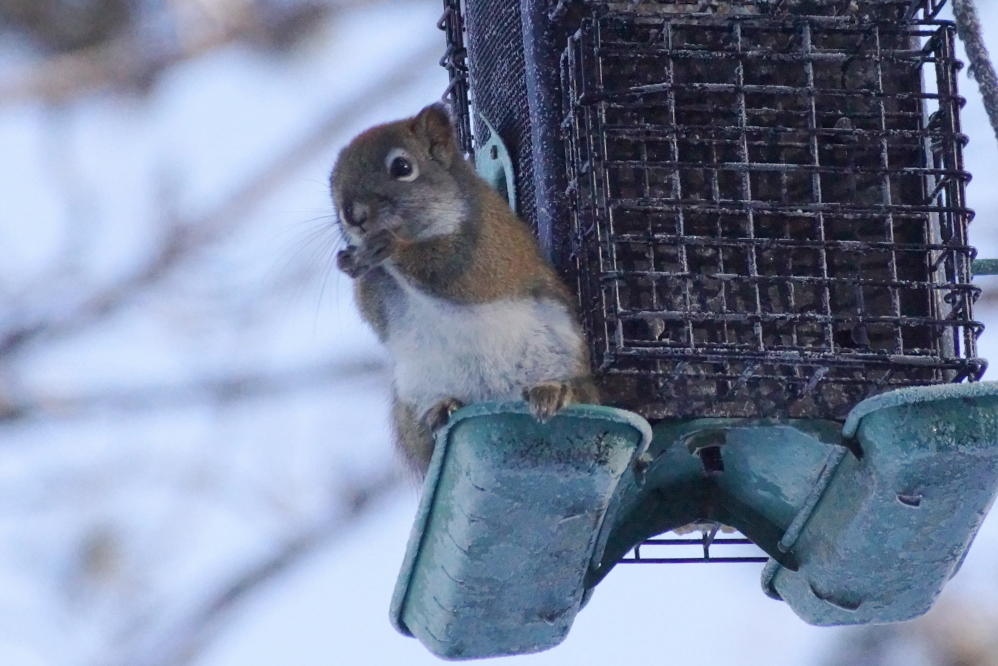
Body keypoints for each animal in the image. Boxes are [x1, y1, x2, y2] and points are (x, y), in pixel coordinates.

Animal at [329, 104, 598, 476]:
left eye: (402, 168)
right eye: (333, 183)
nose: (352, 216)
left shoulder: (487, 245)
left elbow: (454, 271)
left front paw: (390, 246)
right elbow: (376, 312)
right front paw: (351, 262)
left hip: (563, 352)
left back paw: (552, 391)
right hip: (413, 394)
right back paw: (442, 409)